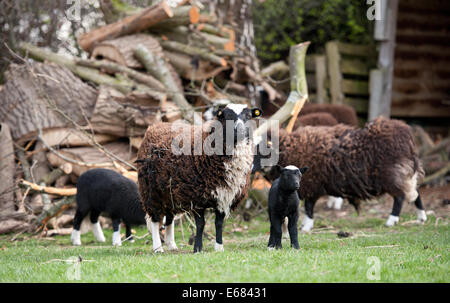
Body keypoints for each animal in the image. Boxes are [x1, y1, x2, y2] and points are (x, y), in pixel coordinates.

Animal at [137, 104, 264, 254]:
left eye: (249, 115)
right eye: (227, 116)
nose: (240, 131)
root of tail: (155, 126)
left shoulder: (224, 195)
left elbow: (219, 223)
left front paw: (219, 247)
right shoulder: (196, 197)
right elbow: (201, 224)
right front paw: (197, 248)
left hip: (169, 192)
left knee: (169, 218)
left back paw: (171, 245)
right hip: (151, 191)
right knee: (155, 219)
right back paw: (158, 248)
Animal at [266, 117, 428, 232]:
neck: (289, 148)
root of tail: (406, 135)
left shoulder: (312, 183)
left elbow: (309, 206)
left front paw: (306, 226)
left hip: (391, 174)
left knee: (400, 196)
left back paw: (391, 220)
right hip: (405, 174)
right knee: (415, 193)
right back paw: (421, 217)